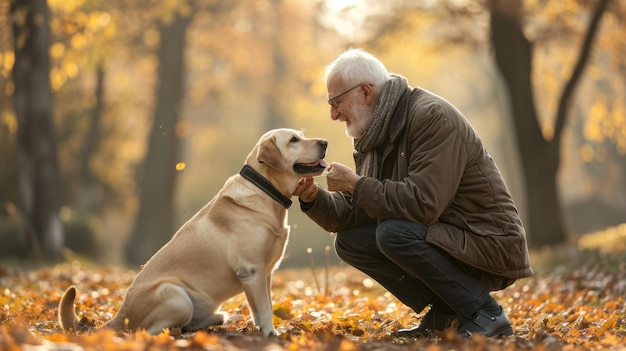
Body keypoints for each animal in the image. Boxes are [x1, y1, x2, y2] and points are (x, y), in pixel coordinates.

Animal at [59, 130, 326, 338]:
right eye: (293, 140)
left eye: (301, 135)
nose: (324, 142)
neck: (266, 190)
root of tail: (119, 315)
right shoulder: (252, 271)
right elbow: (264, 309)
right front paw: (272, 335)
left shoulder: (266, 272)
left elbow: (264, 307)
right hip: (176, 295)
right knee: (147, 332)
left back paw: (214, 320)